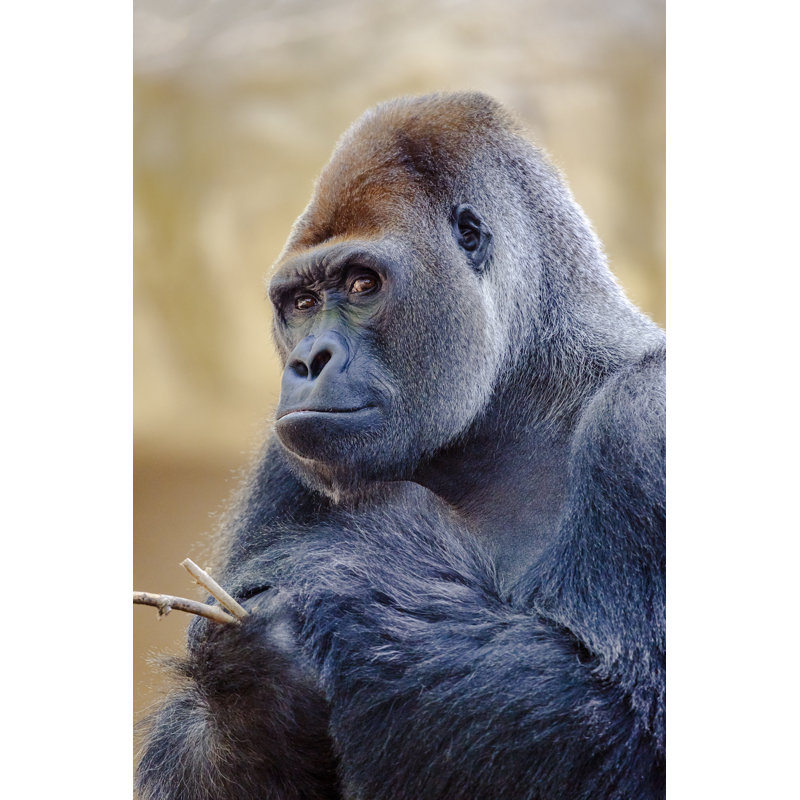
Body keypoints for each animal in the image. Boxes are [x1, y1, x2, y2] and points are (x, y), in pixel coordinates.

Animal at [136, 91, 665, 800]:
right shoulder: (287, 461)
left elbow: (629, 722)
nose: (308, 361)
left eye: (363, 284)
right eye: (300, 302)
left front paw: (342, 573)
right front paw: (255, 682)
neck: (525, 381)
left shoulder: (645, 422)